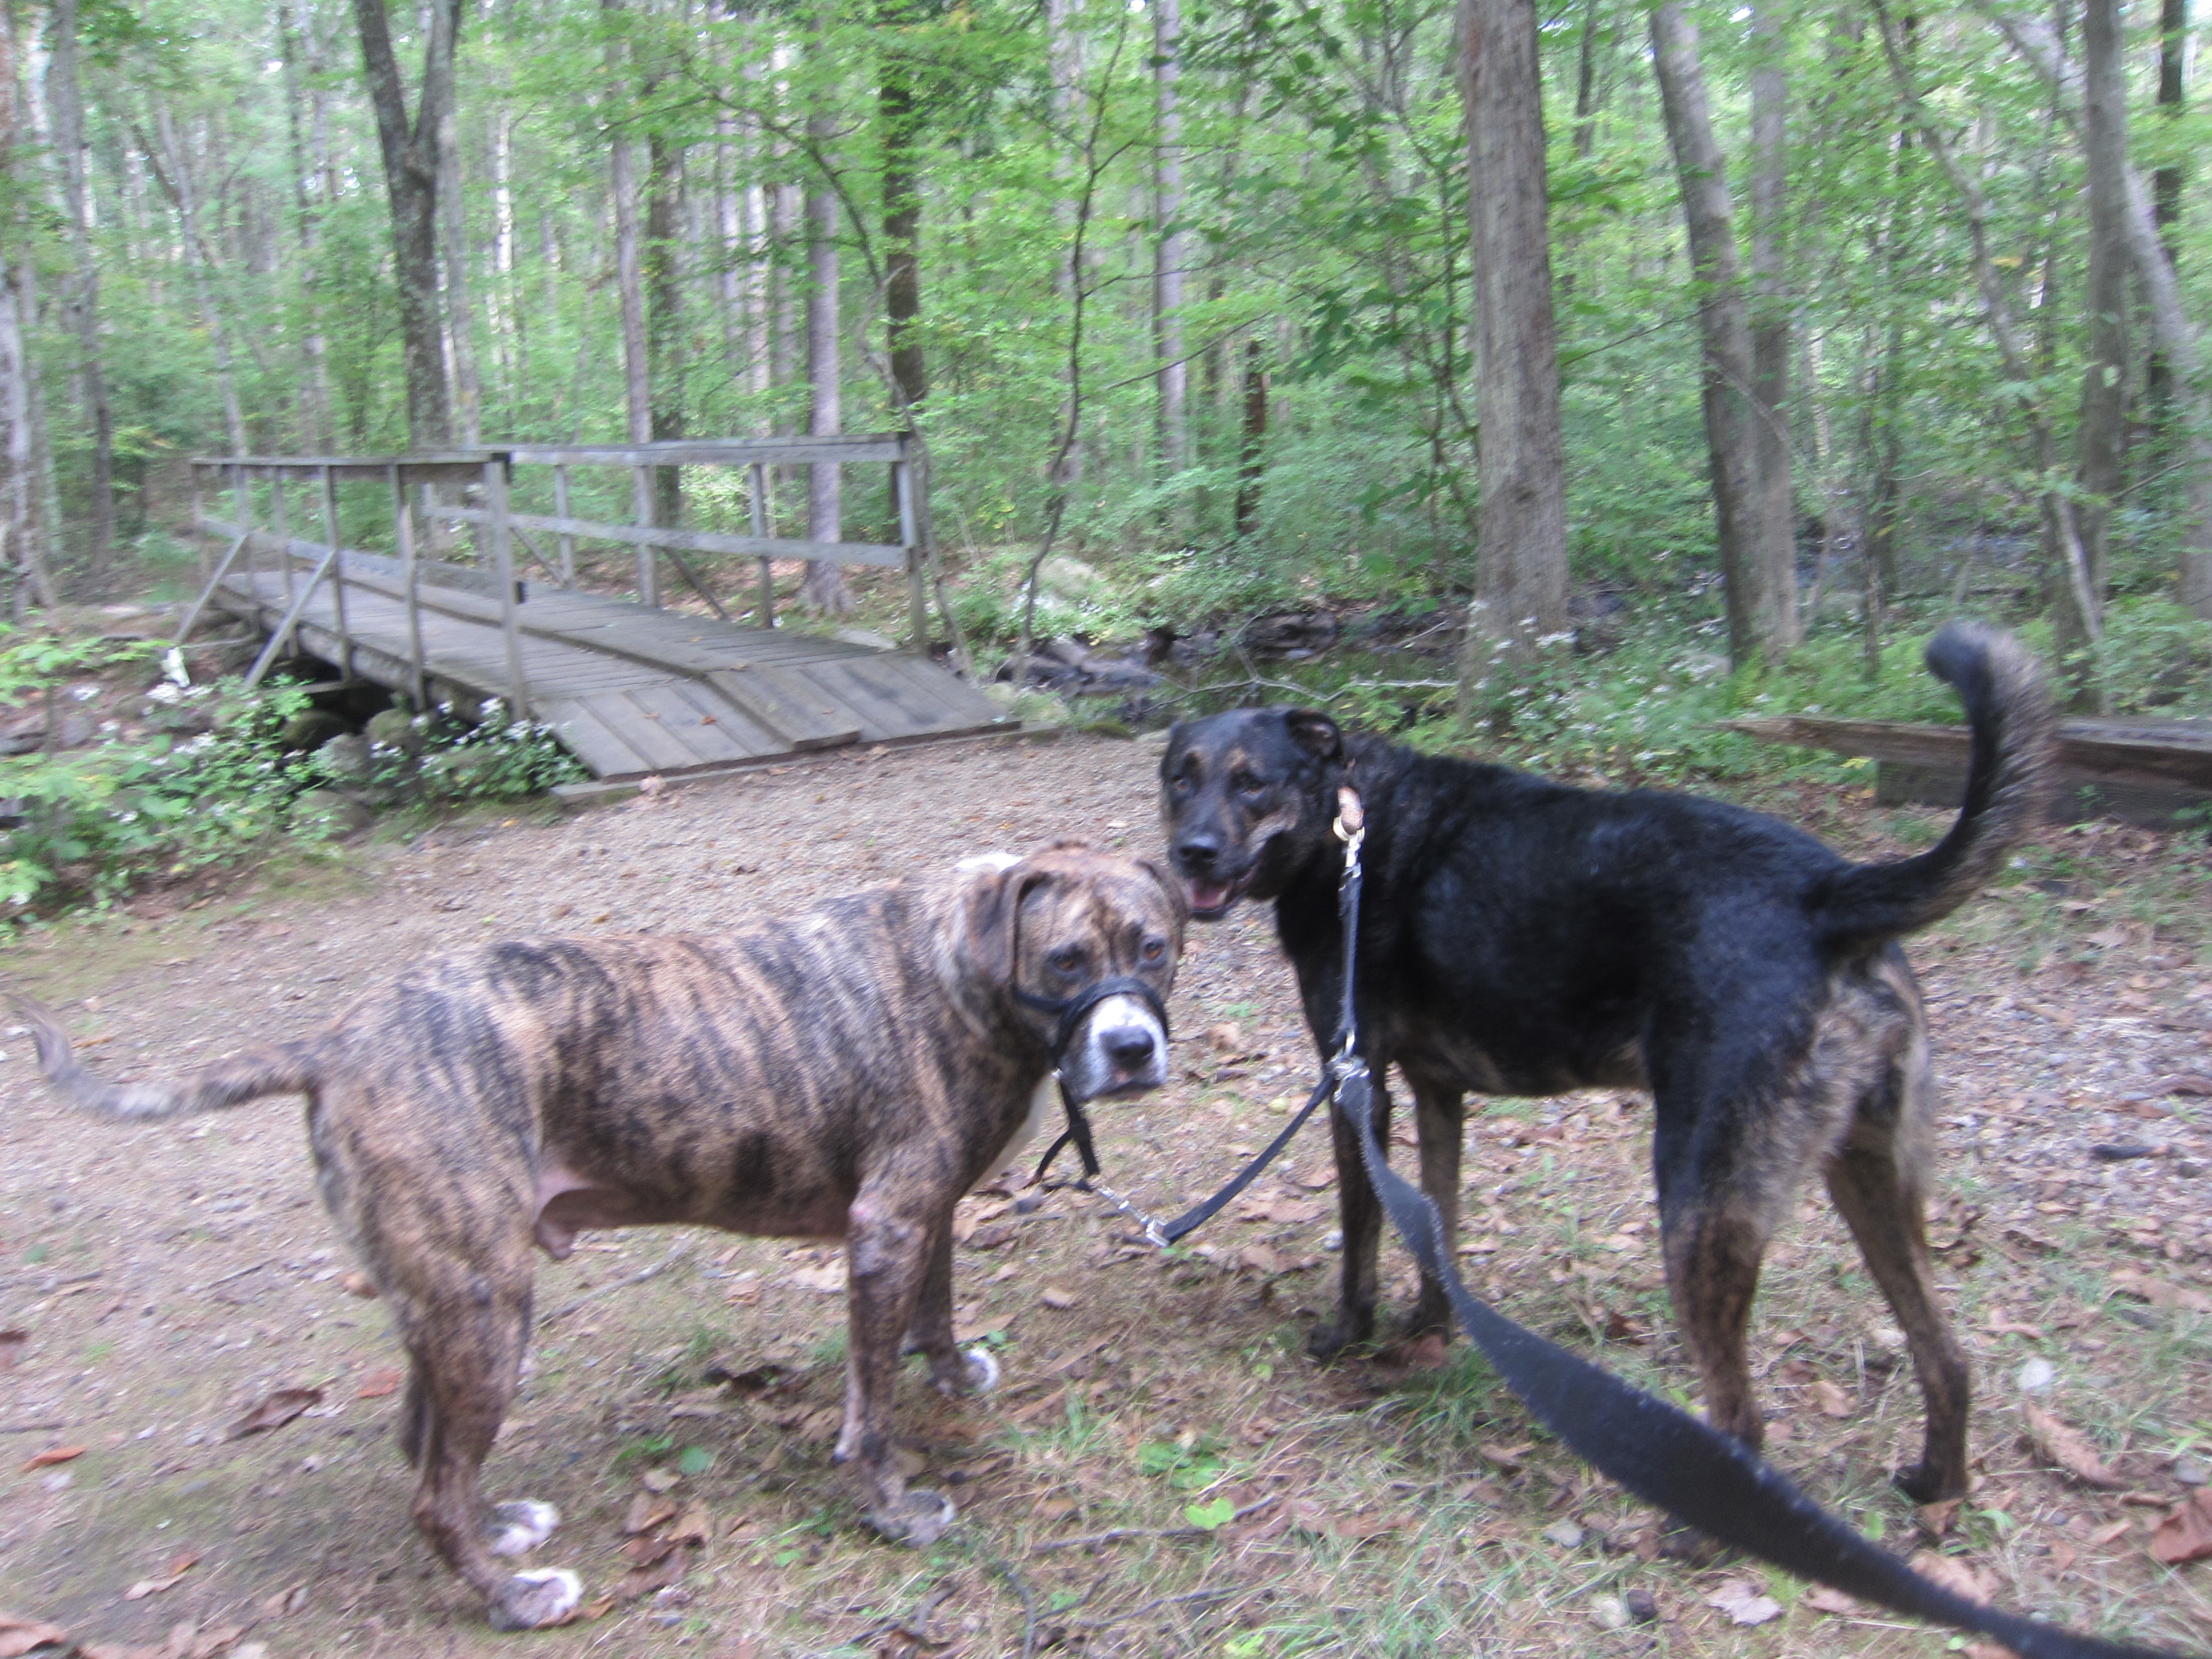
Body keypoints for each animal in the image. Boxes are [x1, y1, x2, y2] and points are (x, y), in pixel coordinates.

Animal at [15, 840, 1185, 1630]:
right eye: (1068, 959)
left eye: (1157, 948)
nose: (1132, 1049)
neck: (965, 969)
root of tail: (335, 1042)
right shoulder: (886, 1226)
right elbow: (869, 1414)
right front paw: (892, 1509)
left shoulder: (925, 1213)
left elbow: (933, 1314)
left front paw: (947, 1372)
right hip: (487, 1309)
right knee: (430, 1494)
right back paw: (514, 1596)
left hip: (448, 1303)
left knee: (425, 1447)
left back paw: (499, 1528)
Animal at [1160, 623, 2052, 1505]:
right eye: (1179, 779)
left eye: (1252, 783)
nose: (1190, 853)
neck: (1345, 830)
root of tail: (1830, 889)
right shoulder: (1436, 1092)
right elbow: (1438, 1224)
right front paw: (1431, 1329)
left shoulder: (1358, 1086)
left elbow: (1361, 1233)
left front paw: (1349, 1333)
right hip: (1874, 1182)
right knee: (1948, 1357)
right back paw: (1937, 1487)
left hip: (1701, 1209)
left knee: (1745, 1421)